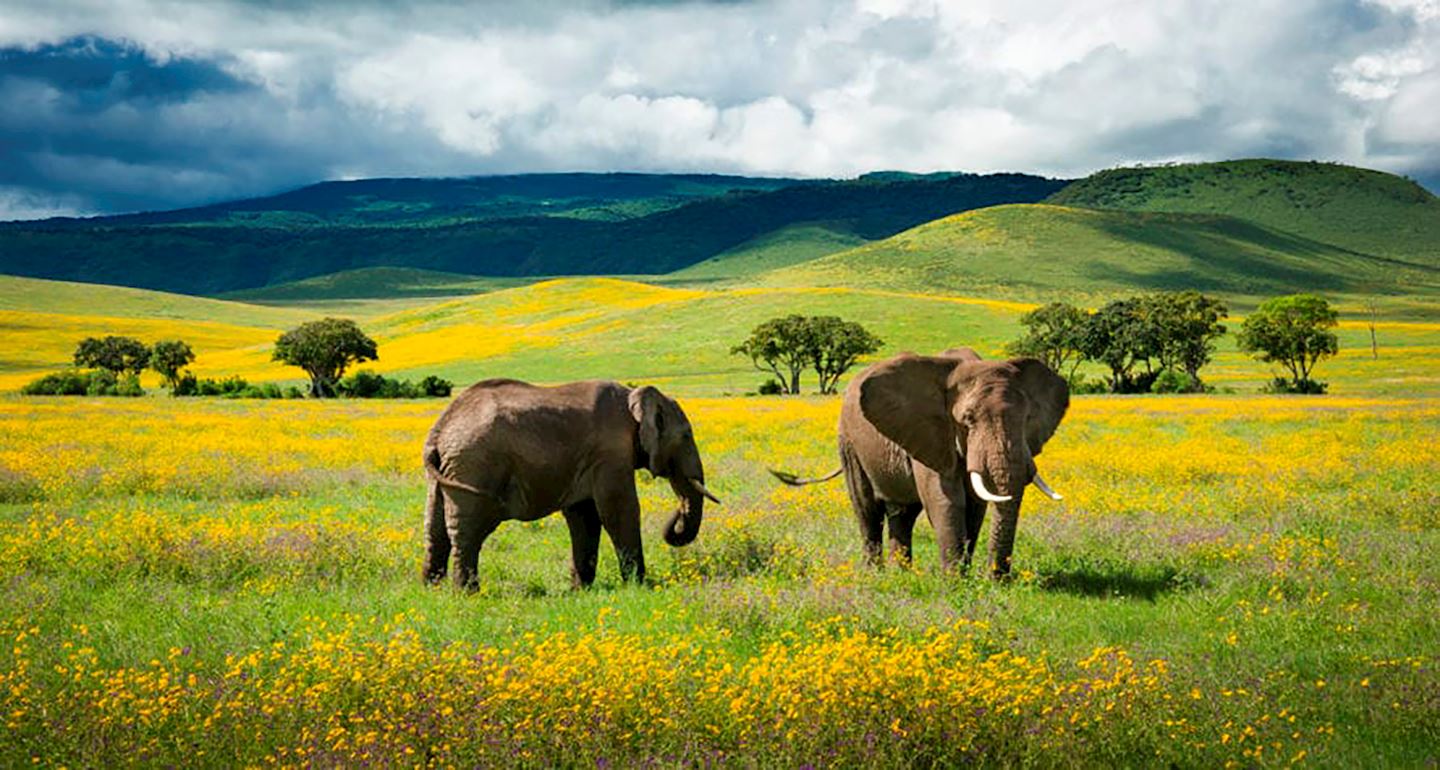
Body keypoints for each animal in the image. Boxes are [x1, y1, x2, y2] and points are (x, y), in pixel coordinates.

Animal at [423, 379, 720, 590]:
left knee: (435, 528)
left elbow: (584, 516)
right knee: (468, 531)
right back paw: (467, 593)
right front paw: (639, 587)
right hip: (474, 465)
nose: (676, 516)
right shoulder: (610, 453)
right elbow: (618, 510)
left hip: (449, 470)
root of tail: (441, 427)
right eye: (686, 436)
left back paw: (432, 589)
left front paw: (580, 590)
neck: (632, 397)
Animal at [766, 349, 1071, 578]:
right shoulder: (930, 430)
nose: (998, 580)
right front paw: (956, 583)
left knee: (902, 513)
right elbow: (945, 499)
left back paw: (901, 575)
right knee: (867, 509)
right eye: (967, 420)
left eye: (1027, 418)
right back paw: (875, 576)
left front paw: (966, 578)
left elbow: (975, 506)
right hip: (849, 442)